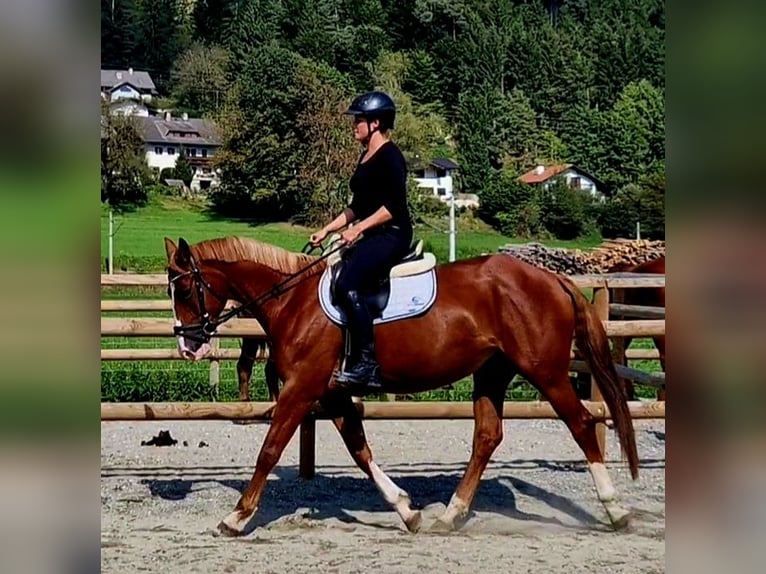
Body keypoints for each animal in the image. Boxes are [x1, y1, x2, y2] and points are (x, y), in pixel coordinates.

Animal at [165, 236, 640, 536]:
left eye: (186, 289)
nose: (188, 346)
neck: (292, 301)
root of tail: (551, 278)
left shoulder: (301, 388)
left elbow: (269, 450)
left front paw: (236, 518)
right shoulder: (333, 392)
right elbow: (360, 450)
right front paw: (407, 511)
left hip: (546, 373)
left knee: (581, 424)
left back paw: (617, 511)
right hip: (492, 373)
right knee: (487, 436)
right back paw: (449, 516)